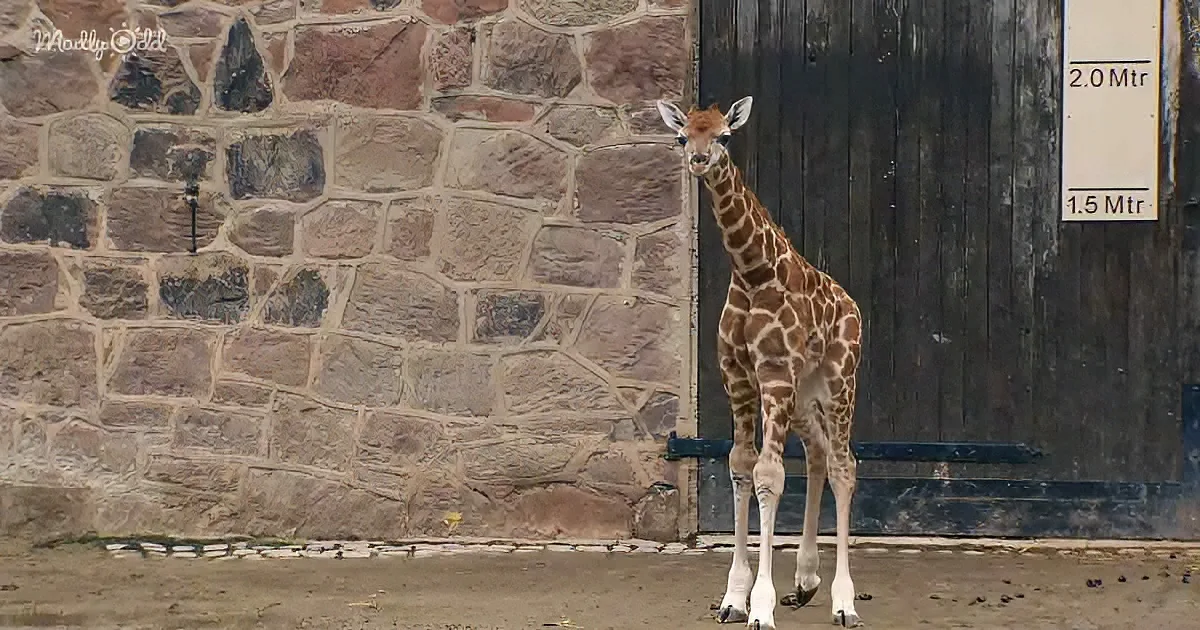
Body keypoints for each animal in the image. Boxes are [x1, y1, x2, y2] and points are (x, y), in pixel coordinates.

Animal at [656, 97, 864, 629]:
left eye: (725, 135)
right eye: (684, 135)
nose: (699, 160)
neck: (753, 272)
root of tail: (853, 305)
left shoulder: (773, 372)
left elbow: (769, 474)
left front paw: (762, 606)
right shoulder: (738, 375)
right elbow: (740, 465)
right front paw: (734, 597)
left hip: (840, 380)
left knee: (844, 464)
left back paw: (844, 600)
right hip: (805, 392)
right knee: (818, 455)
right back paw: (807, 581)